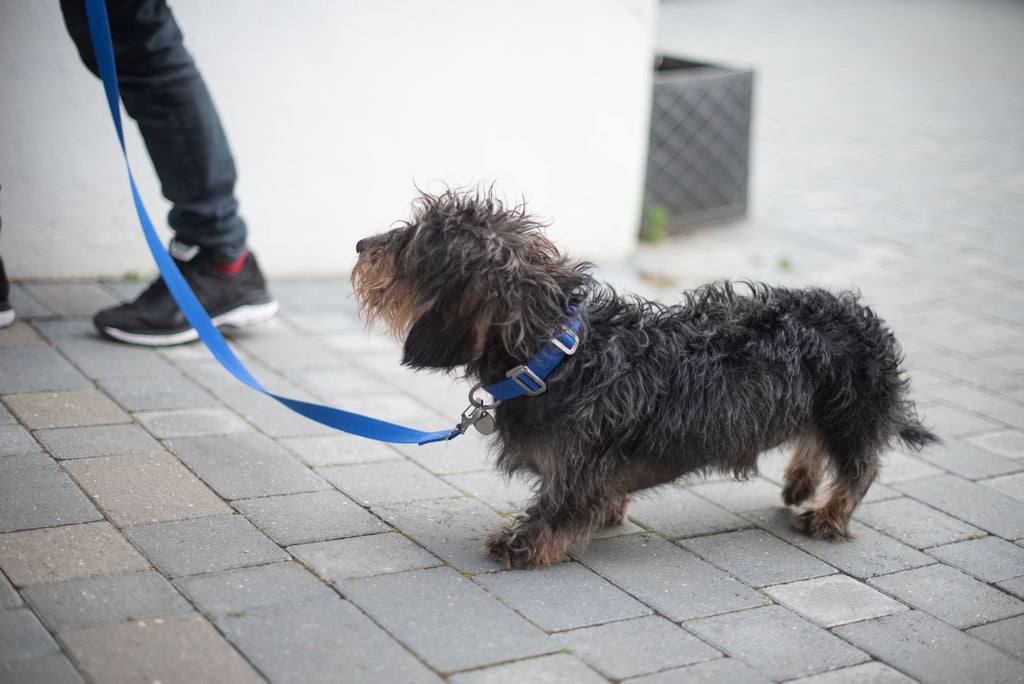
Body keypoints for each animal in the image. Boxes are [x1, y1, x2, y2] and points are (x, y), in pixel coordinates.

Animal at [352, 189, 937, 569]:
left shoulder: (578, 461)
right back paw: (799, 482)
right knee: (814, 444)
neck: (557, 358)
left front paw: (523, 543)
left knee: (860, 468)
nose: (359, 245)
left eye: (413, 244)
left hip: (848, 412)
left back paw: (828, 516)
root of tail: (862, 321)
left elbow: (558, 503)